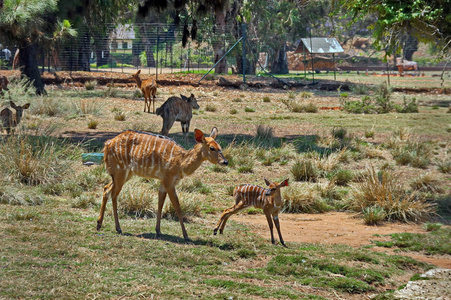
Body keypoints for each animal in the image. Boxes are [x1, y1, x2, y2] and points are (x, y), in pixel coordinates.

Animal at [96, 126, 228, 241]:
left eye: (220, 146)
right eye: (212, 148)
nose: (225, 162)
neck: (180, 162)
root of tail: (107, 144)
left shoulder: (163, 182)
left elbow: (160, 204)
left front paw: (158, 231)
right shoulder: (169, 181)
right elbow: (177, 207)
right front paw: (186, 236)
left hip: (125, 174)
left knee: (106, 188)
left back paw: (99, 224)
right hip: (121, 172)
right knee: (114, 194)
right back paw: (118, 228)